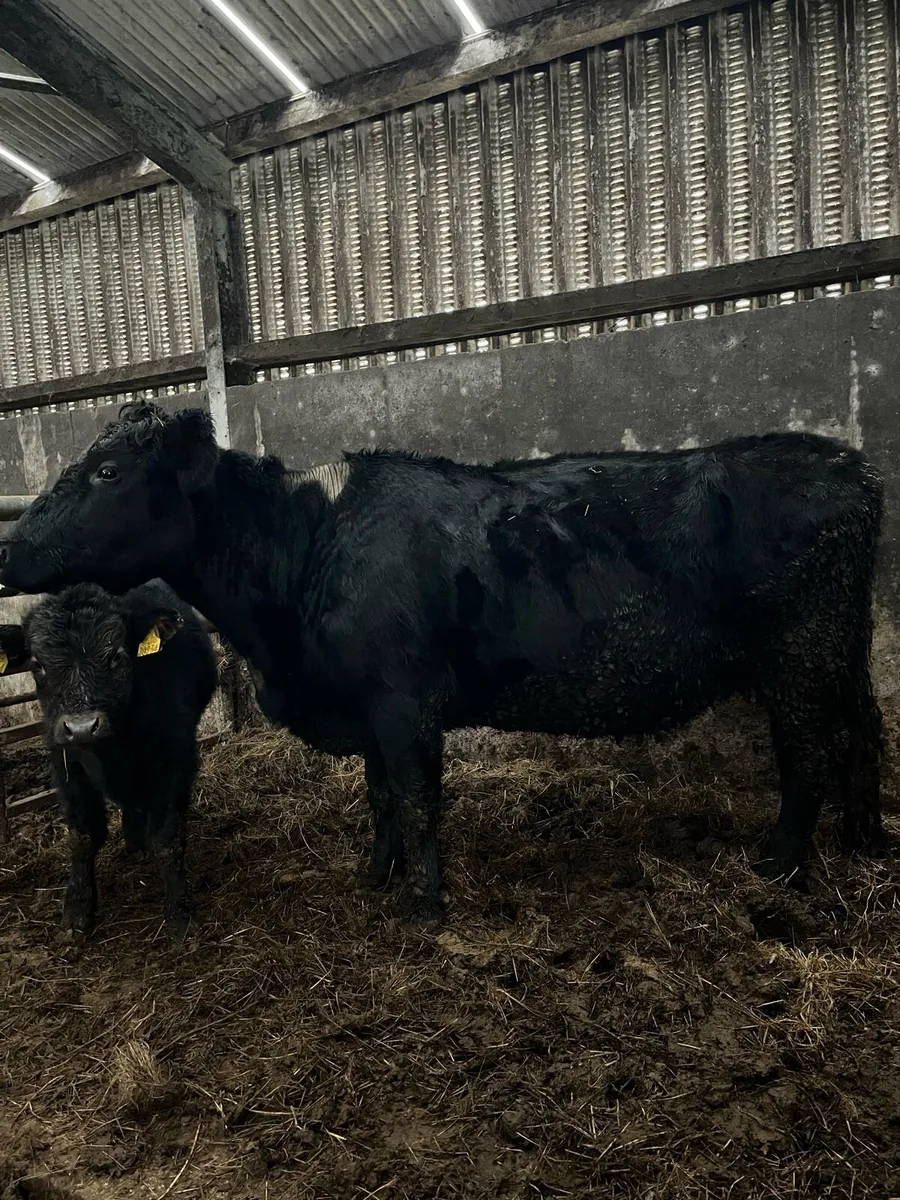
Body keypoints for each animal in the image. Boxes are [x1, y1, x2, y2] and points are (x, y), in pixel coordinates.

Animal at [0, 580, 217, 940]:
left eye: (117, 656)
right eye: (38, 664)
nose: (81, 726)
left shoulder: (175, 760)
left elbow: (166, 838)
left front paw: (180, 915)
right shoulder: (67, 767)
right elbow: (83, 837)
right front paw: (77, 912)